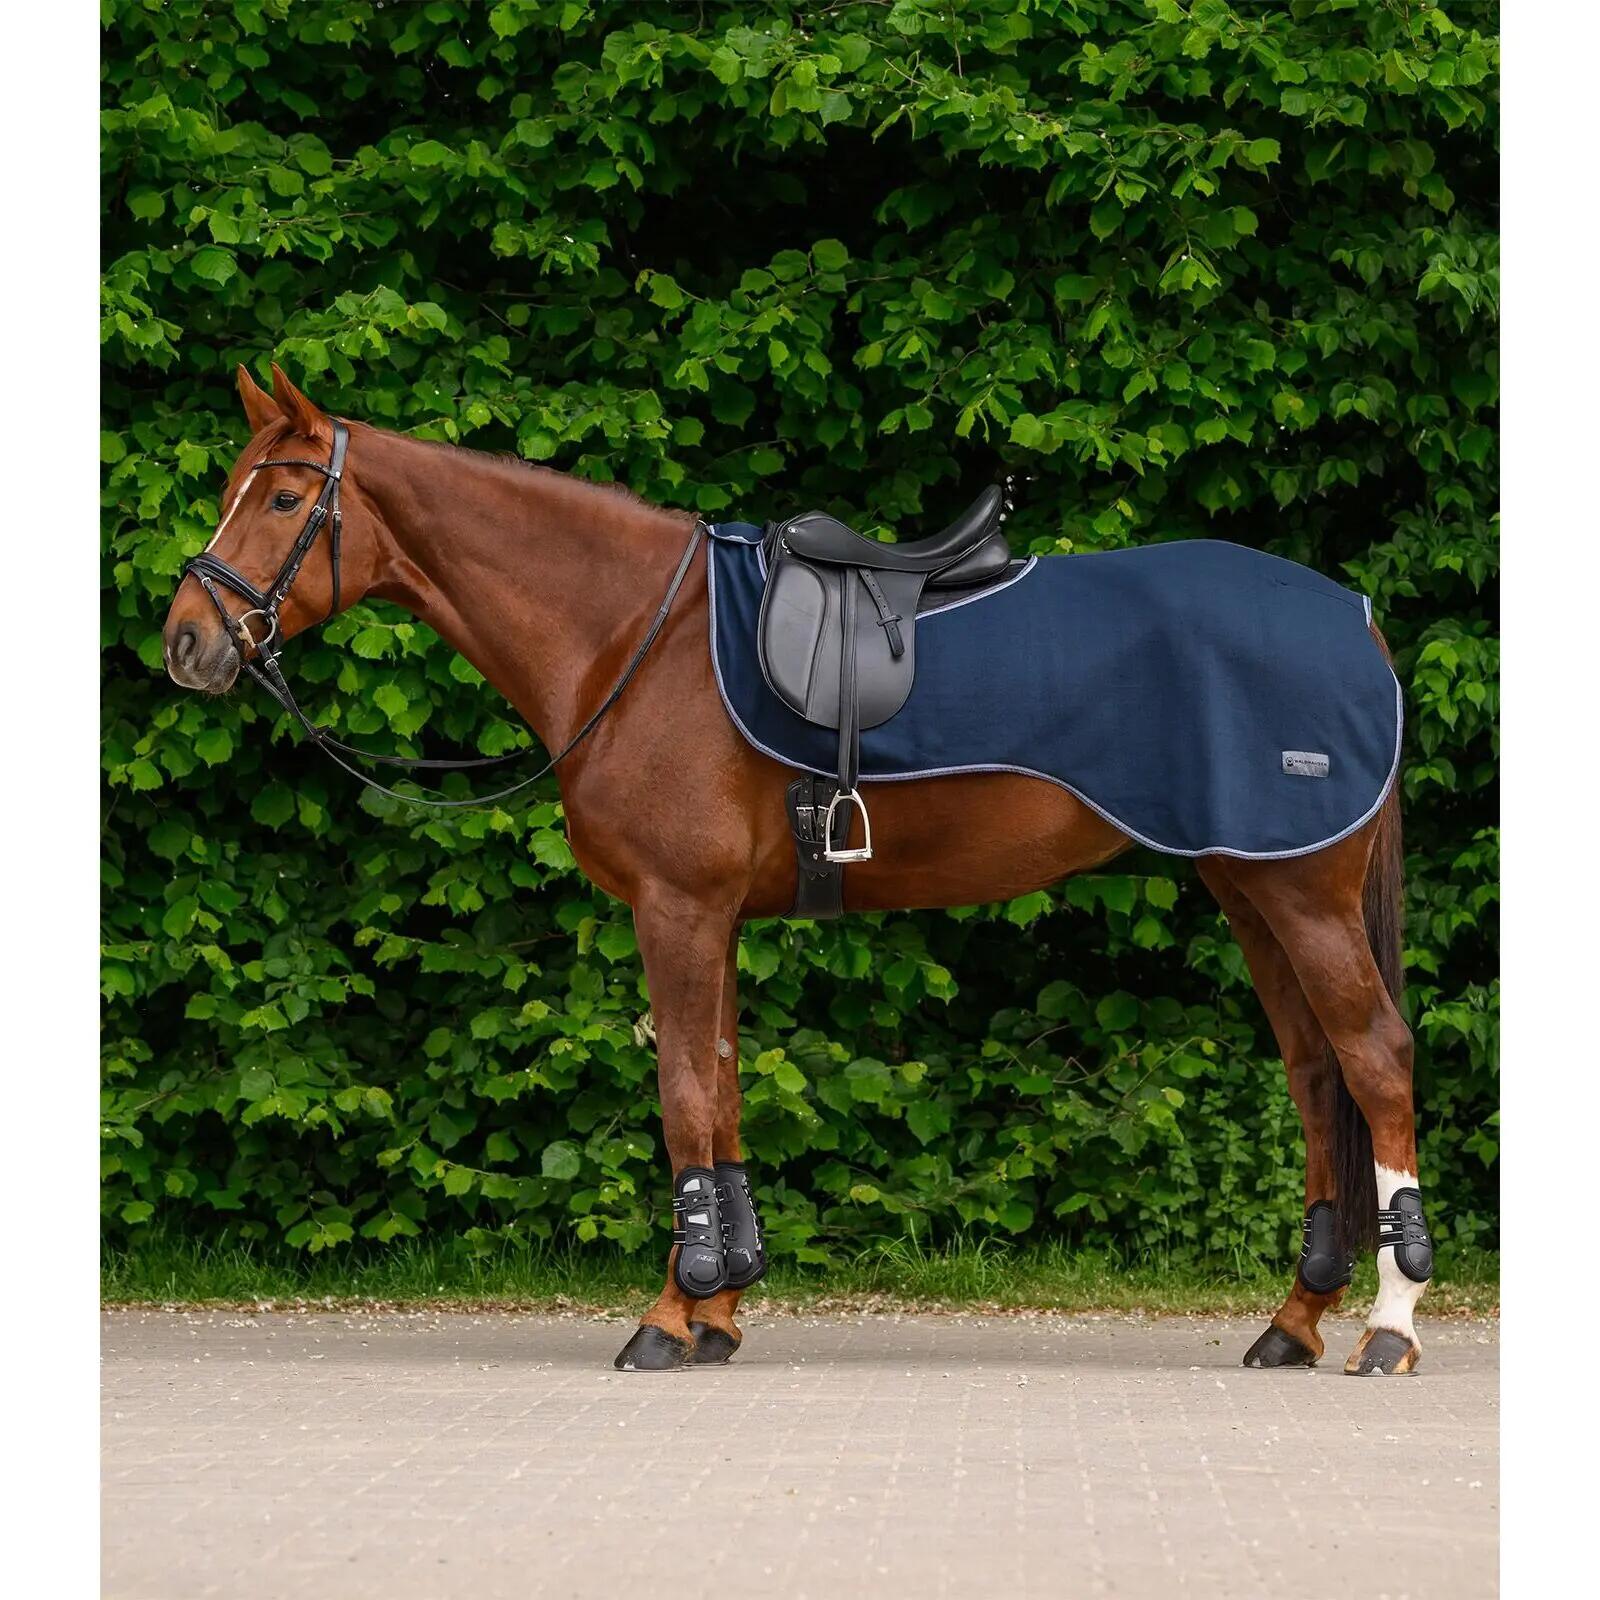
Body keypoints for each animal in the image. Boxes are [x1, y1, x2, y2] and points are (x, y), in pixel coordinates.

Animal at [163, 364, 1434, 1375]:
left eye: (283, 496)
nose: (187, 640)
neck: (634, 638)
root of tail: (1350, 615)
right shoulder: (713, 914)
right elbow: (719, 1090)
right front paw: (721, 1305)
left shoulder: (677, 908)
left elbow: (682, 1096)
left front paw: (669, 1317)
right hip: (1252, 885)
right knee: (1316, 1078)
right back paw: (1293, 1321)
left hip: (1300, 894)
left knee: (1373, 1062)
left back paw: (1389, 1327)